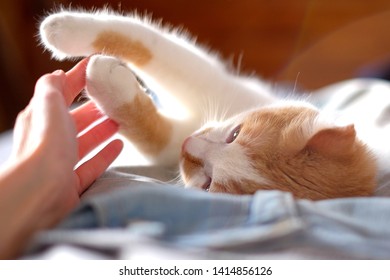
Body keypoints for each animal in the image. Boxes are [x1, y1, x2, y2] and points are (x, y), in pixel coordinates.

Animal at [40, 10, 378, 199]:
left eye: (209, 184)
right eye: (235, 134)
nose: (188, 147)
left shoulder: (171, 146)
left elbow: (154, 134)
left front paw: (106, 80)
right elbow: (153, 45)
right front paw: (63, 28)